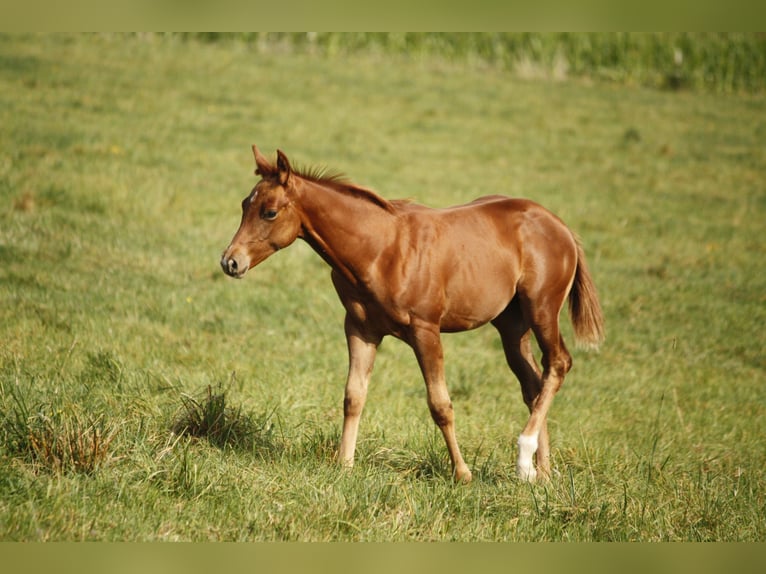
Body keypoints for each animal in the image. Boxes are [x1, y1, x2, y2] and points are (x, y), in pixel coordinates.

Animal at [220, 146, 608, 484]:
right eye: (243, 205)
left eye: (270, 212)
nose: (230, 262)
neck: (380, 249)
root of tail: (559, 225)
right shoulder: (360, 328)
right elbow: (353, 396)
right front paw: (344, 465)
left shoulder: (426, 331)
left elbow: (440, 404)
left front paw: (462, 474)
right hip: (512, 325)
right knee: (533, 385)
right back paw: (538, 472)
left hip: (541, 309)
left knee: (558, 363)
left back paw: (524, 456)